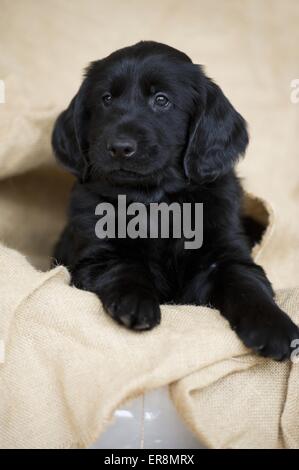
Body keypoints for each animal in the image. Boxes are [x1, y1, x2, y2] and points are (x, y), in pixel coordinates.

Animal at [52, 42, 298, 362]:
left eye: (161, 100)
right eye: (106, 99)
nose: (119, 147)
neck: (155, 200)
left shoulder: (224, 254)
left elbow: (247, 283)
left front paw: (274, 326)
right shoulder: (96, 254)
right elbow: (124, 267)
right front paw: (136, 303)